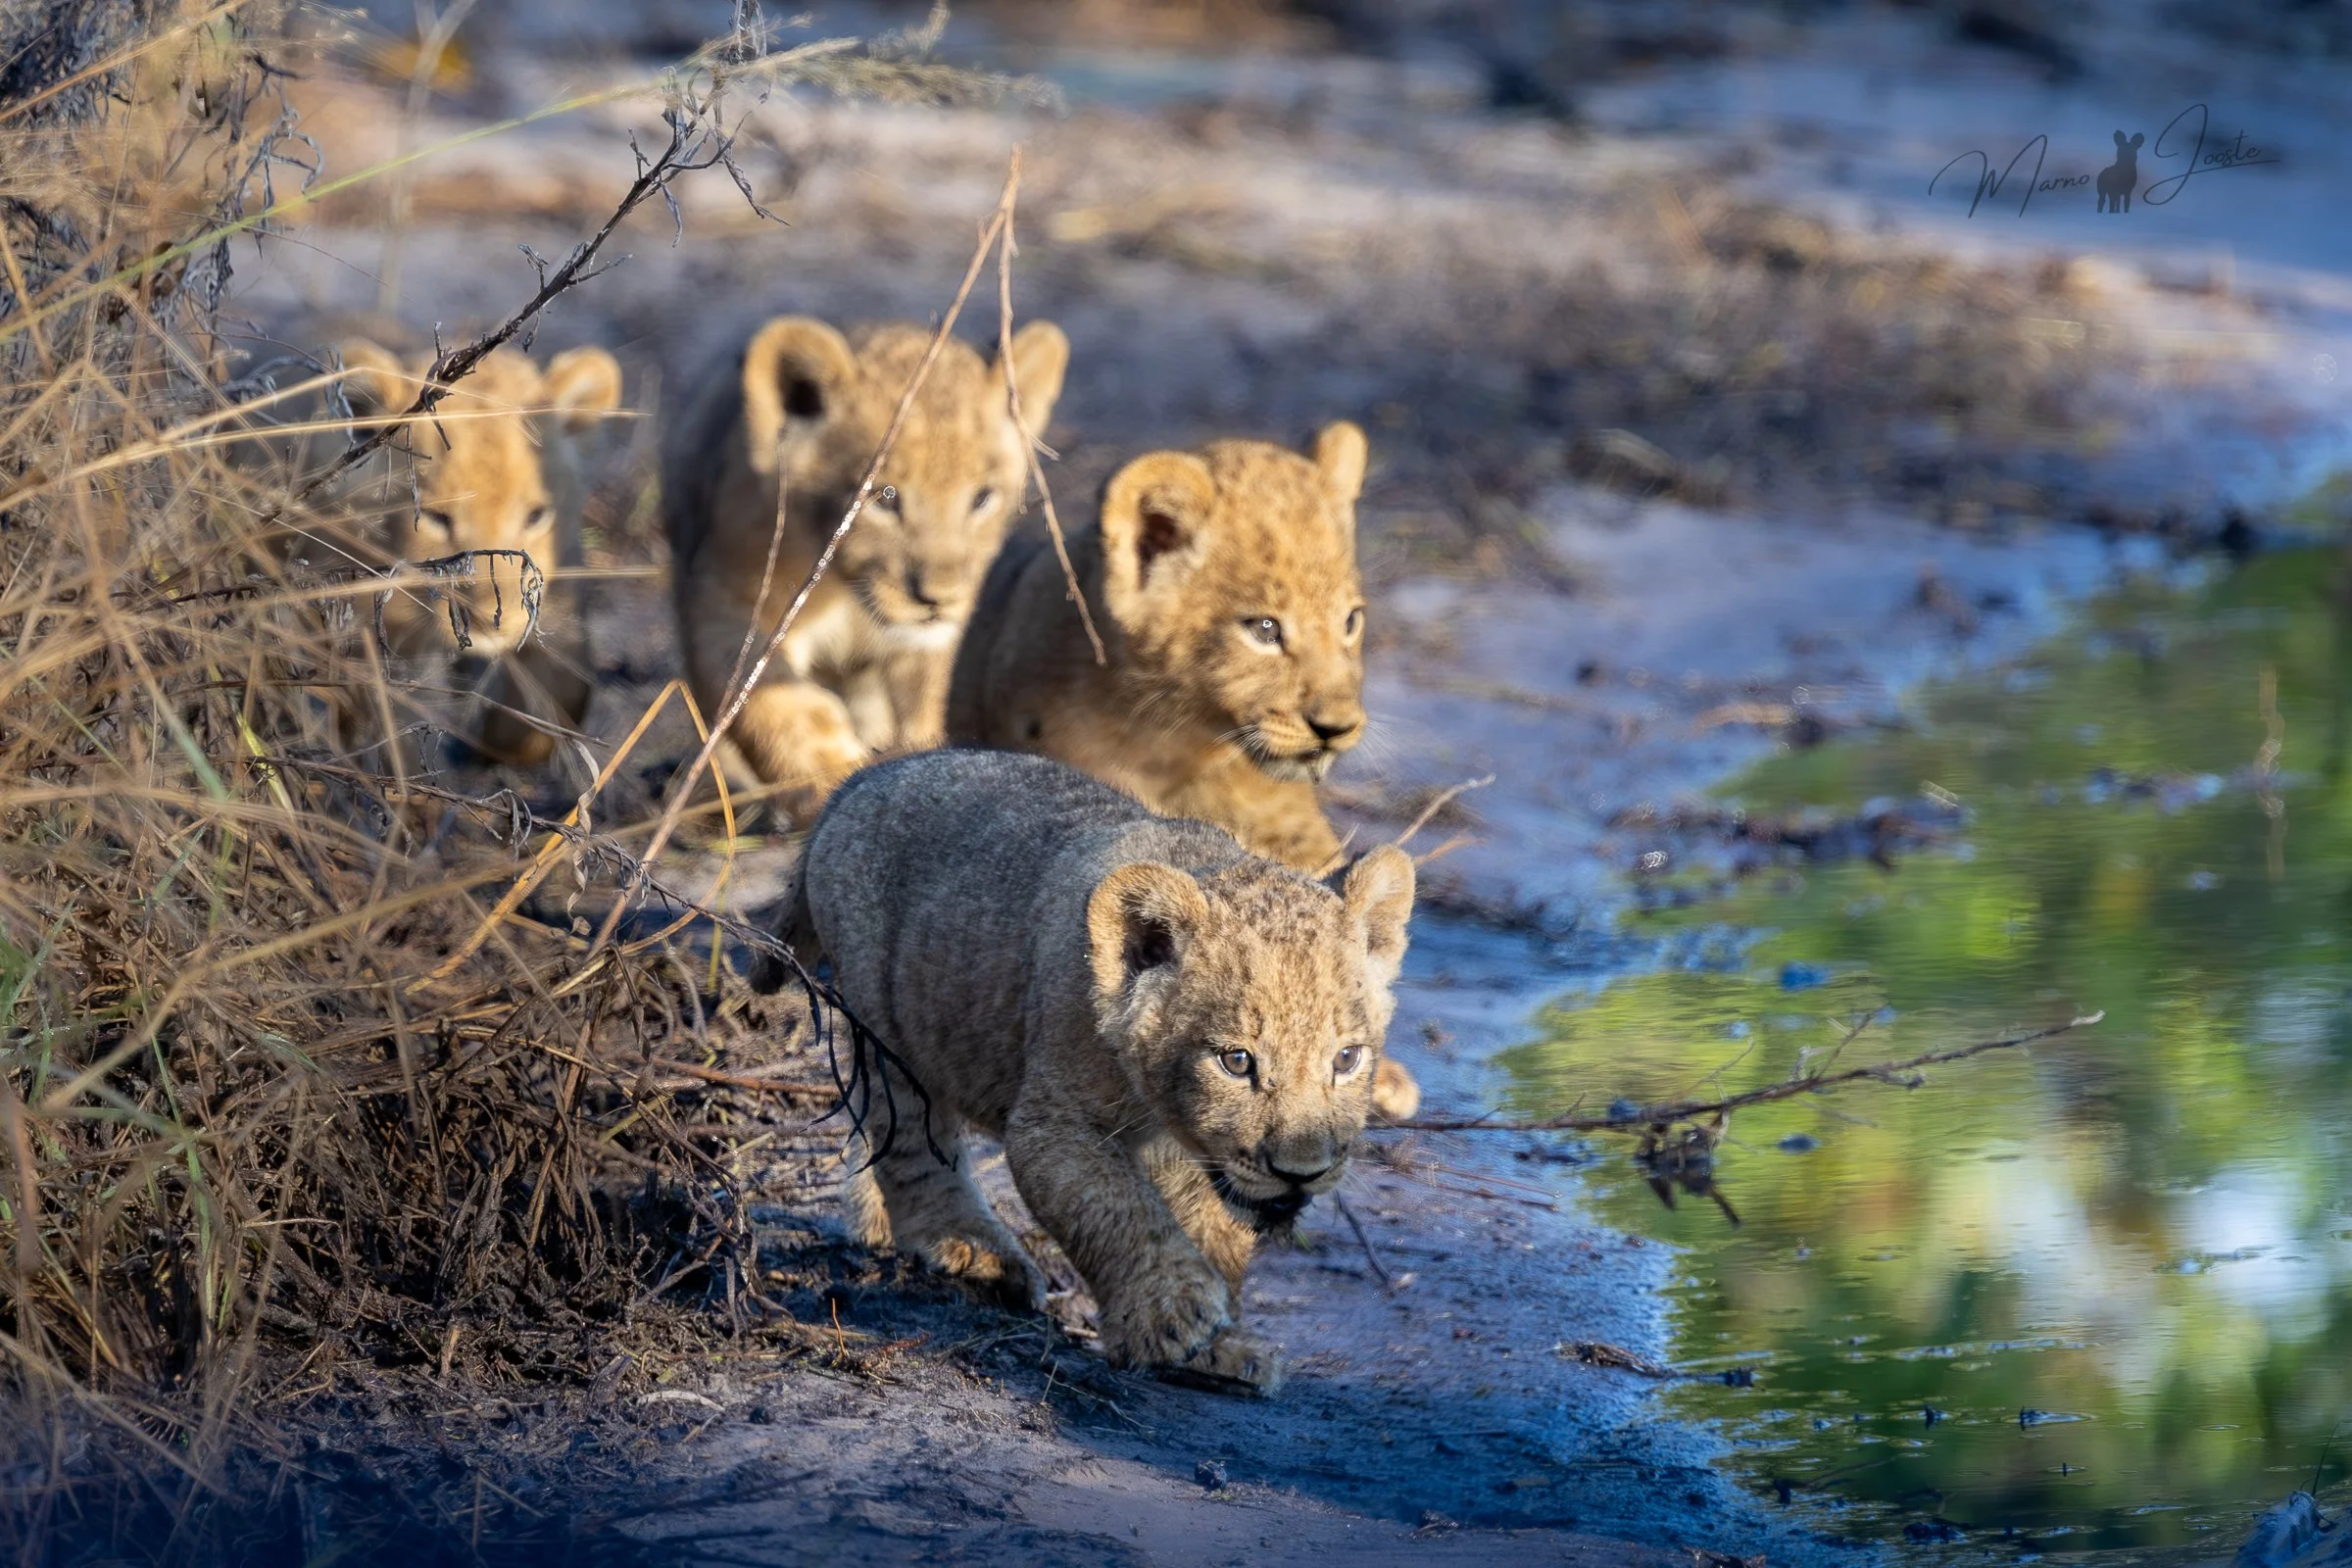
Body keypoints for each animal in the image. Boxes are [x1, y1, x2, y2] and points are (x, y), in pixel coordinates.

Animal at [304, 339, 623, 769]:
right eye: (437, 517)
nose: (490, 620)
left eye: (536, 516)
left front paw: (507, 741)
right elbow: (391, 718)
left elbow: (564, 686)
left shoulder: (558, 596)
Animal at [660, 316, 1068, 825]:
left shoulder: (938, 643)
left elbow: (934, 704)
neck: (848, 592)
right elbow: (775, 707)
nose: (939, 599)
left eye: (982, 498)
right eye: (884, 496)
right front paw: (831, 781)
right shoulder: (725, 603)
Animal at [749, 748, 1415, 1395]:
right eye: (1237, 1061)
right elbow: (1120, 1213)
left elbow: (1211, 1230)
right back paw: (975, 1251)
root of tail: (857, 784)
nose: (1303, 1174)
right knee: (912, 1141)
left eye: (1346, 1059)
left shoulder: (1194, 1156)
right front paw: (1174, 1314)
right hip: (886, 1021)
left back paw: (879, 1227)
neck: (1161, 1108)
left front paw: (1218, 1348)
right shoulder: (1054, 1125)